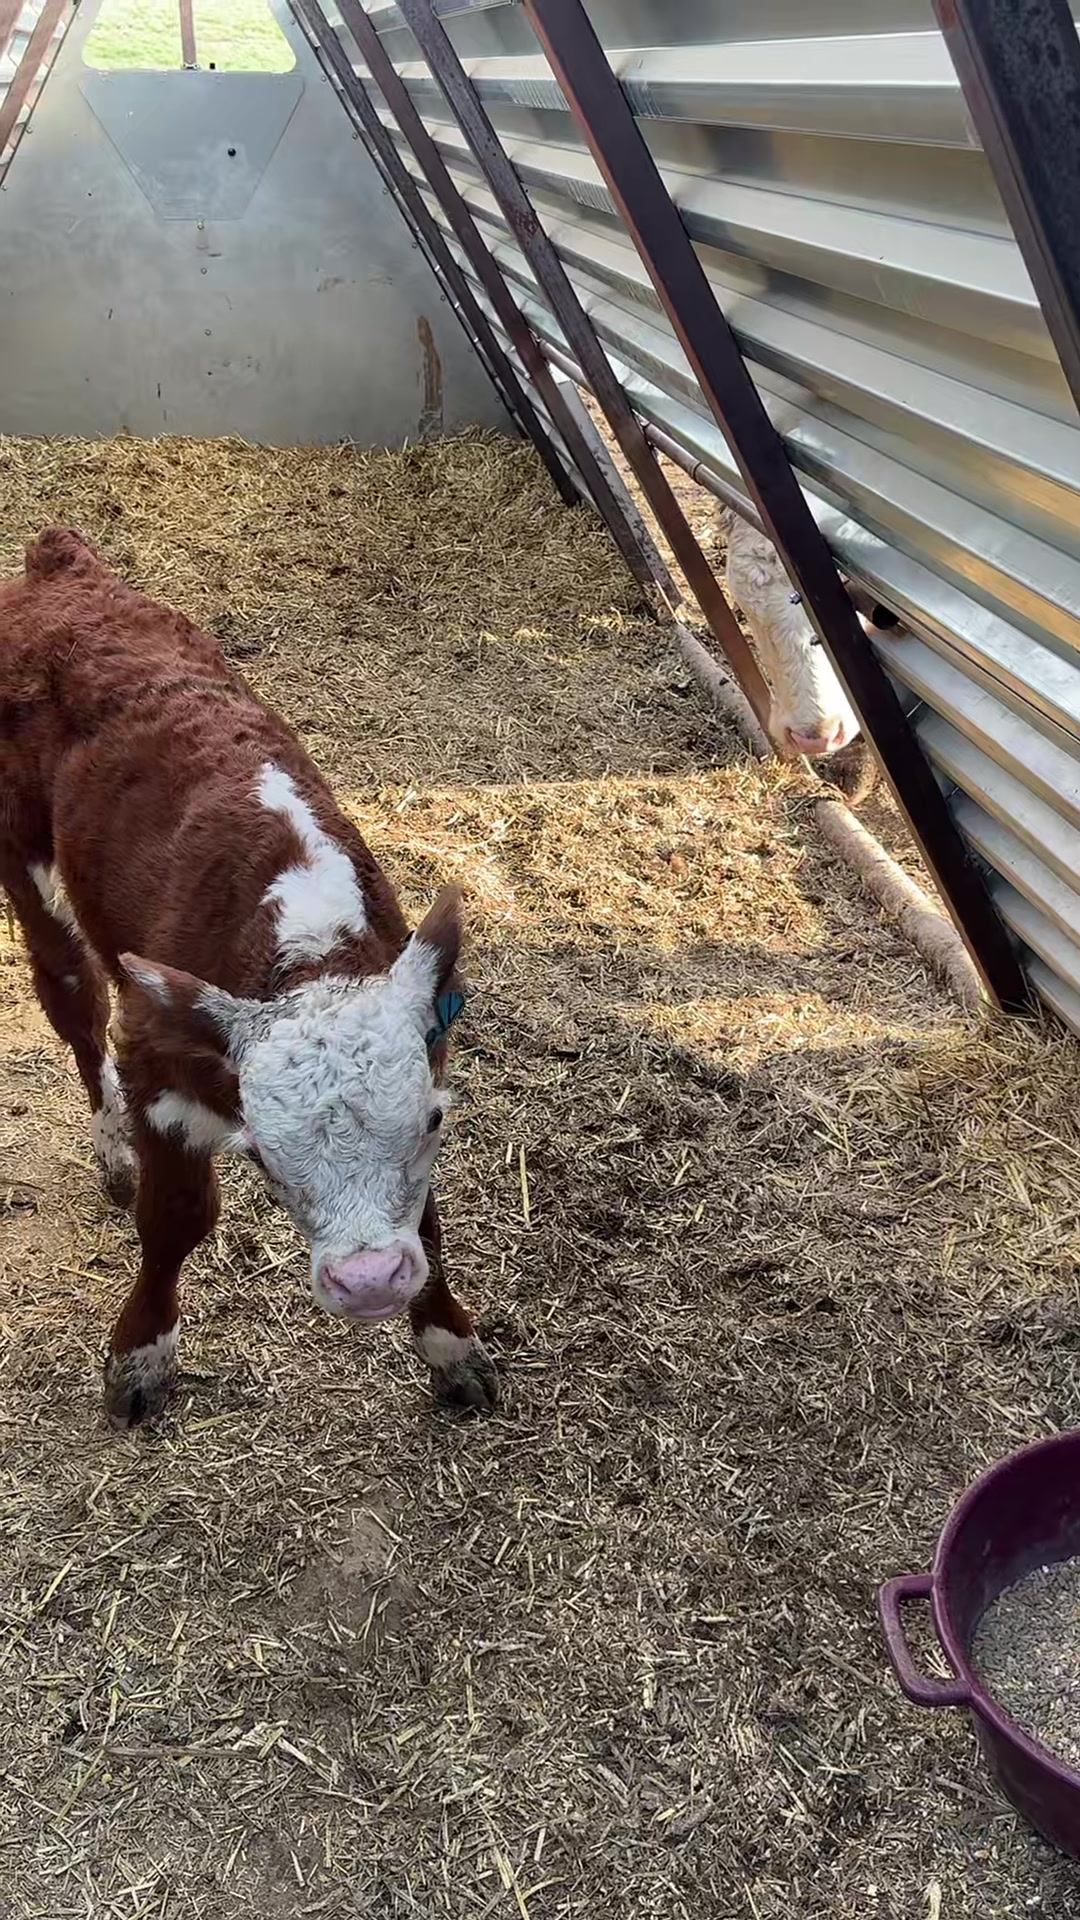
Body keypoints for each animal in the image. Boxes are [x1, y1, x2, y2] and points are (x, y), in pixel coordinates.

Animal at [0, 528, 498, 1427]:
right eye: (262, 1154)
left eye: (434, 1122)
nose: (368, 1282)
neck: (305, 943)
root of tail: (58, 562)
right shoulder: (158, 1059)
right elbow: (177, 1218)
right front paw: (140, 1358)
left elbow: (428, 1225)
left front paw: (451, 1347)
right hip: (27, 871)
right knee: (73, 1002)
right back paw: (113, 1152)